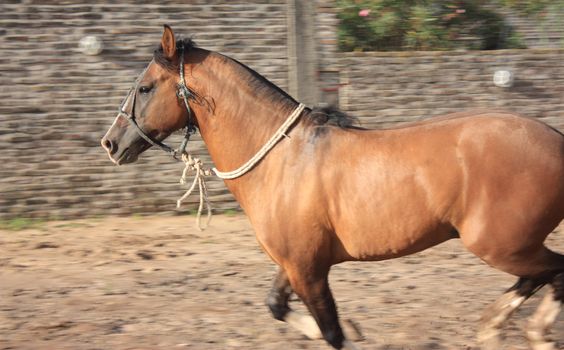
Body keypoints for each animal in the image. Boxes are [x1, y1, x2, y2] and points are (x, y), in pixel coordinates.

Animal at [101, 26, 564, 348]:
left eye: (144, 87)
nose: (111, 143)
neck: (282, 160)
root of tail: (556, 139)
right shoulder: (295, 263)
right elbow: (278, 307)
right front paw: (353, 328)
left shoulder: (309, 270)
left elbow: (331, 332)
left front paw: (349, 330)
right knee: (543, 276)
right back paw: (500, 327)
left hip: (500, 244)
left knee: (553, 271)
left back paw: (525, 330)